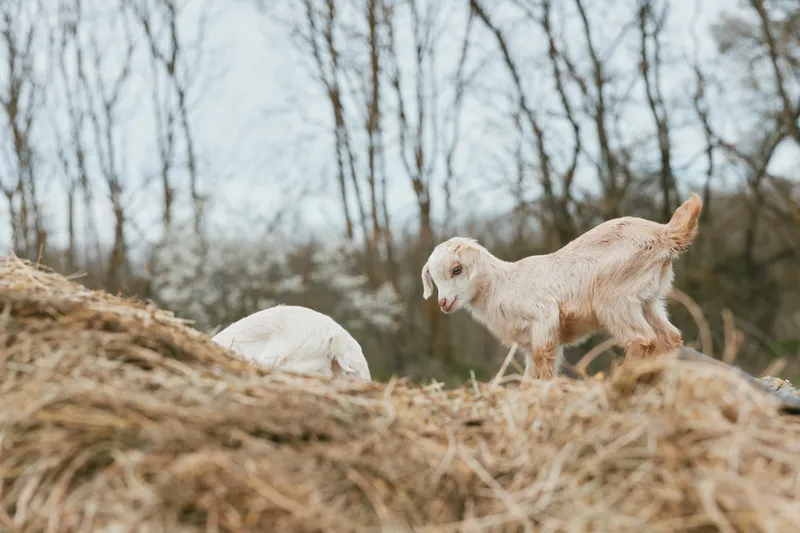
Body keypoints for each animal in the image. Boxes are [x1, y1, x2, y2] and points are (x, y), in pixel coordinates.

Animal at [421, 194, 703, 380]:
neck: (502, 284)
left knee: (642, 340)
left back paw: (620, 378)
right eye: (432, 277)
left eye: (457, 269)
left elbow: (543, 358)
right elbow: (530, 373)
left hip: (614, 297)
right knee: (670, 337)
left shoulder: (544, 316)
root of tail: (664, 235)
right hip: (649, 299)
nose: (443, 303)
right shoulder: (528, 341)